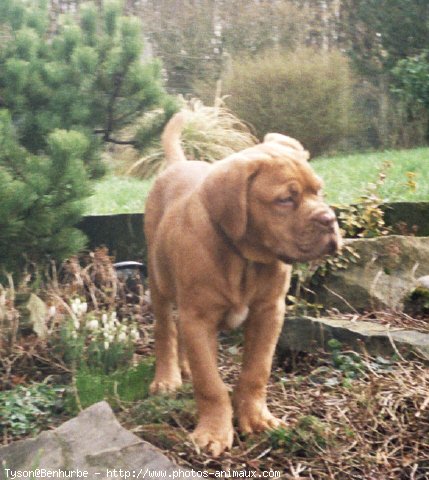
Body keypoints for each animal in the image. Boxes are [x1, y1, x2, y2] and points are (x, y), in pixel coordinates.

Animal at [144, 110, 342, 456]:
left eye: (319, 191)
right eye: (285, 200)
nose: (329, 220)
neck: (244, 259)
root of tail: (179, 164)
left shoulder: (269, 312)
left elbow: (256, 371)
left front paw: (257, 418)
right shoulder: (199, 318)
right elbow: (210, 383)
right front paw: (212, 432)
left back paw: (184, 367)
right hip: (159, 282)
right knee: (165, 329)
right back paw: (167, 377)